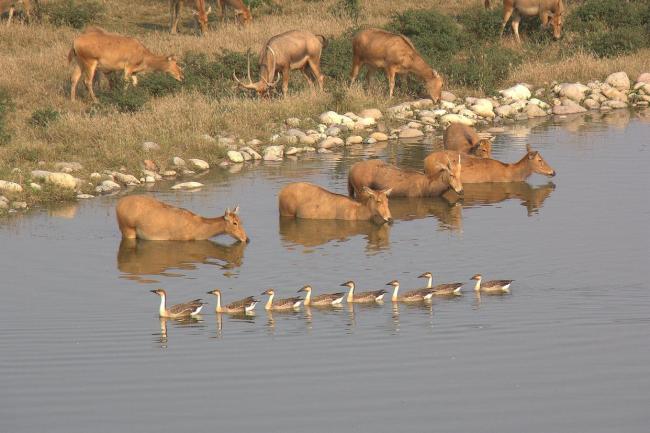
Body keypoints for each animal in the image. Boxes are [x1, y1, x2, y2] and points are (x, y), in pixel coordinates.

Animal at [116, 195, 249, 242]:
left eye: (241, 220)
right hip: (127, 229)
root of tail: (118, 204)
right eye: (235, 223)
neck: (199, 230)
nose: (246, 239)